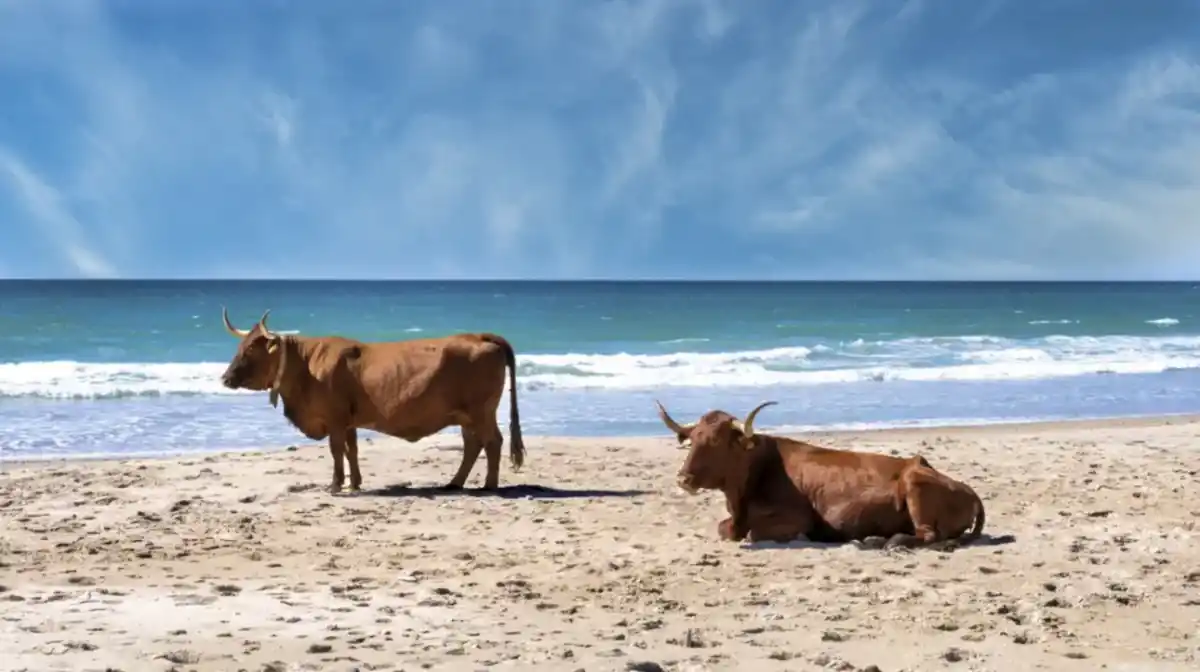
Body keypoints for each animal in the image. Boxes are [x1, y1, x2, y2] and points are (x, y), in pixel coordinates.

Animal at [219, 308, 526, 495]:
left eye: (250, 350)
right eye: (240, 347)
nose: (225, 378)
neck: (306, 365)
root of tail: (480, 335)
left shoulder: (335, 419)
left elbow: (336, 451)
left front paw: (336, 485)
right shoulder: (348, 421)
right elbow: (351, 450)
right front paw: (355, 483)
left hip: (481, 411)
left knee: (492, 442)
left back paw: (489, 485)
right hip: (465, 416)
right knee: (473, 445)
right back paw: (454, 483)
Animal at [656, 400, 985, 551]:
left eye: (716, 442)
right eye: (693, 439)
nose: (683, 479)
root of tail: (967, 489)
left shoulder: (798, 518)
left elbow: (753, 533)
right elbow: (725, 529)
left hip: (915, 486)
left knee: (928, 535)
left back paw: (882, 540)